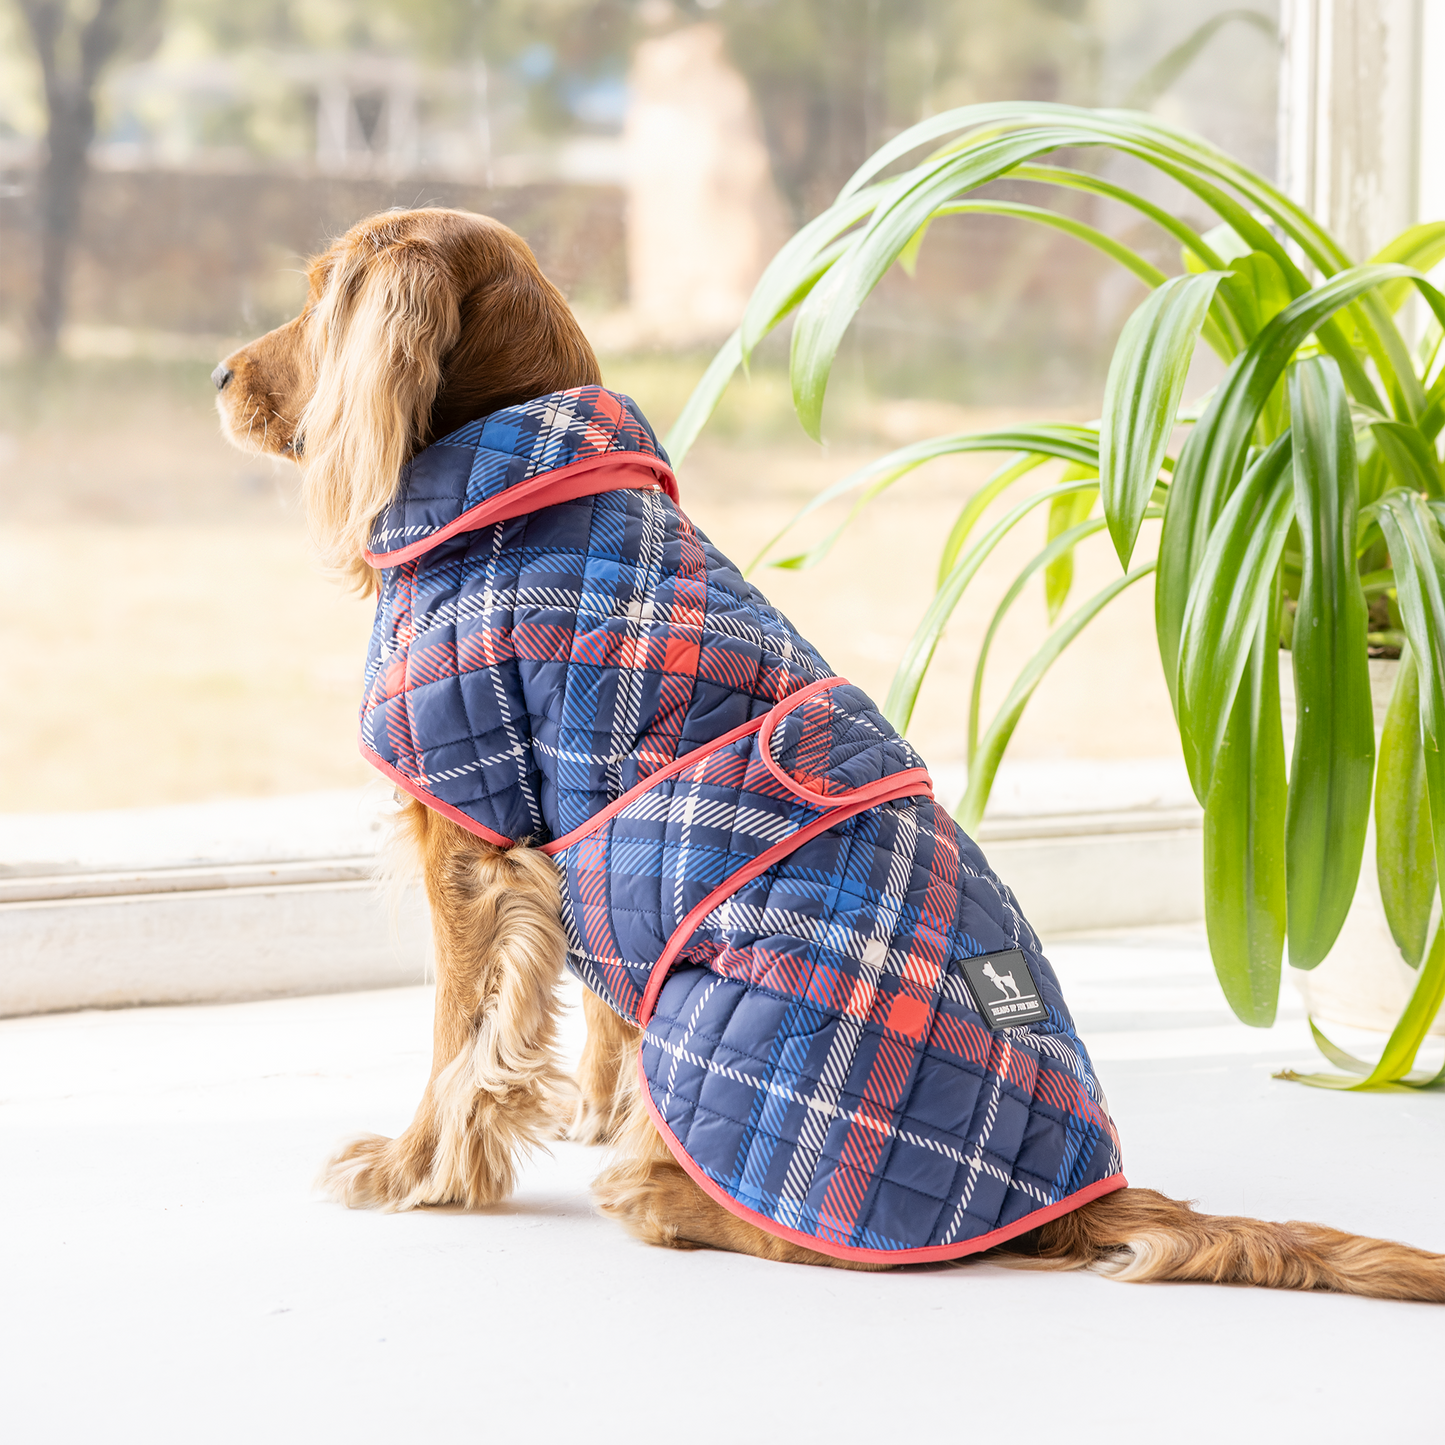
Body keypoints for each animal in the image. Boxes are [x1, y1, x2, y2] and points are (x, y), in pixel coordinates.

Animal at [213, 206, 1445, 1300]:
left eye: (322, 296)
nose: (219, 375)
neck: (515, 474)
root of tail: (1081, 1196)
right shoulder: (582, 846)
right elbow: (595, 998)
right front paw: (586, 1109)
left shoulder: (468, 830)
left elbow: (459, 1032)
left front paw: (416, 1170)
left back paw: (654, 1182)